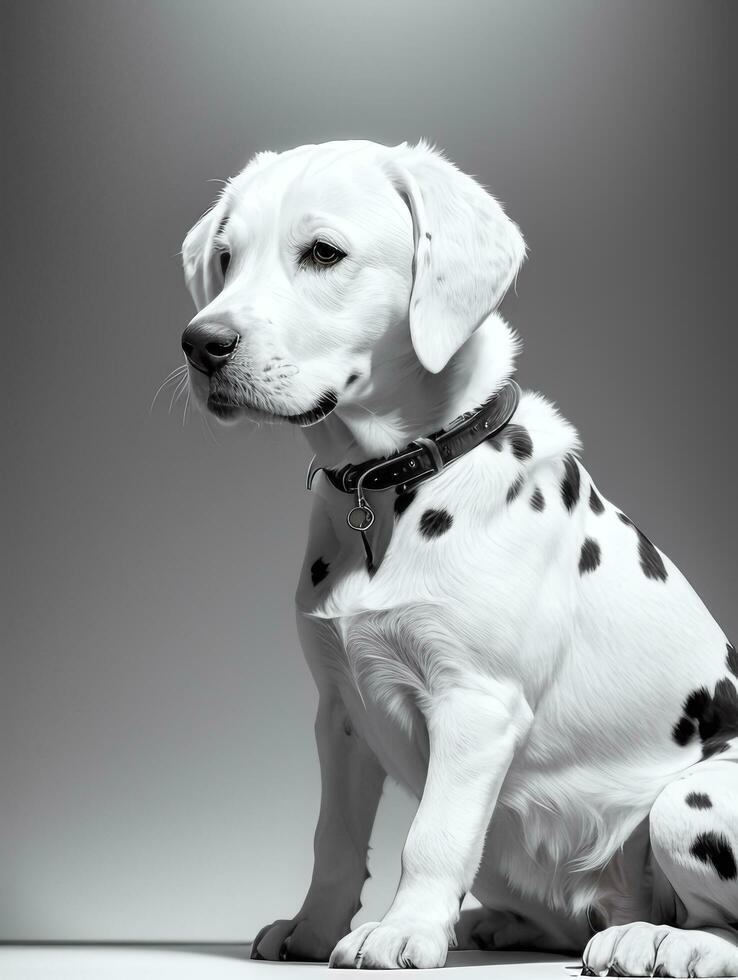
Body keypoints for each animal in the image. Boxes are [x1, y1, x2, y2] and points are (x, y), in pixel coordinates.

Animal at [178, 142, 736, 976]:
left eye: (323, 253)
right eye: (225, 258)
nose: (201, 344)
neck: (387, 483)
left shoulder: (476, 703)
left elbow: (433, 838)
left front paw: (402, 930)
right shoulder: (338, 713)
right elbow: (334, 840)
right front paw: (313, 929)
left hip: (686, 801)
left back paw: (664, 938)